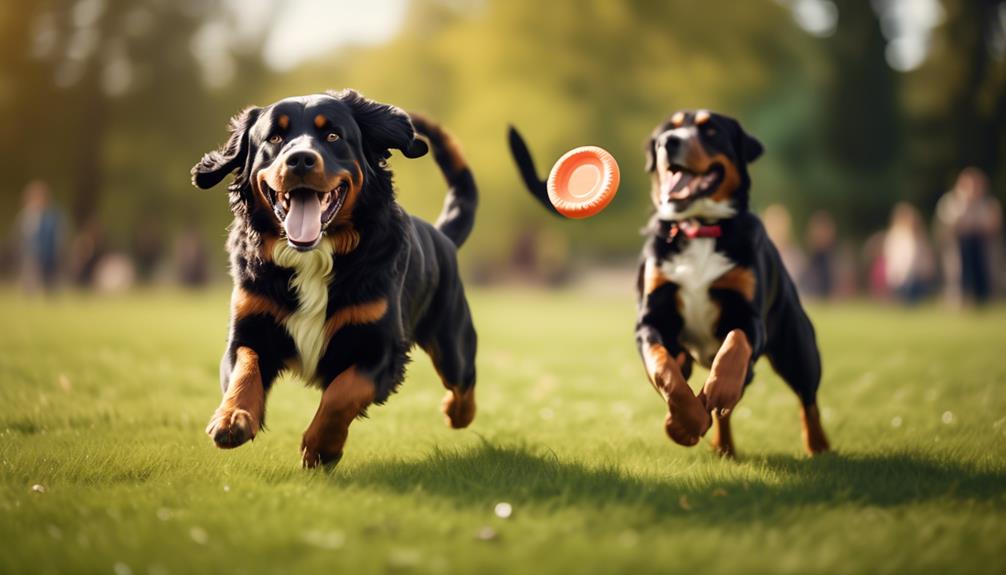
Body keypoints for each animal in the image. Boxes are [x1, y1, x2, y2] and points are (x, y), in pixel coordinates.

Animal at [194, 89, 480, 466]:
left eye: (333, 136)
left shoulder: (380, 348)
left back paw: (457, 413)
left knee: (463, 380)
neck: (312, 256)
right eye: (274, 138)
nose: (300, 160)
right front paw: (232, 418)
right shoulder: (249, 327)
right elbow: (245, 369)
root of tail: (441, 235)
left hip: (451, 342)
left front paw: (320, 447)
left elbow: (343, 393)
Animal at [511, 110, 832, 456]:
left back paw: (818, 447)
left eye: (711, 130)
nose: (669, 142)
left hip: (796, 346)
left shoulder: (748, 316)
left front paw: (716, 391)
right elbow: (664, 368)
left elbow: (733, 349)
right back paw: (722, 446)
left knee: (807, 399)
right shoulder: (652, 319)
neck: (698, 228)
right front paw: (685, 422)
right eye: (669, 129)